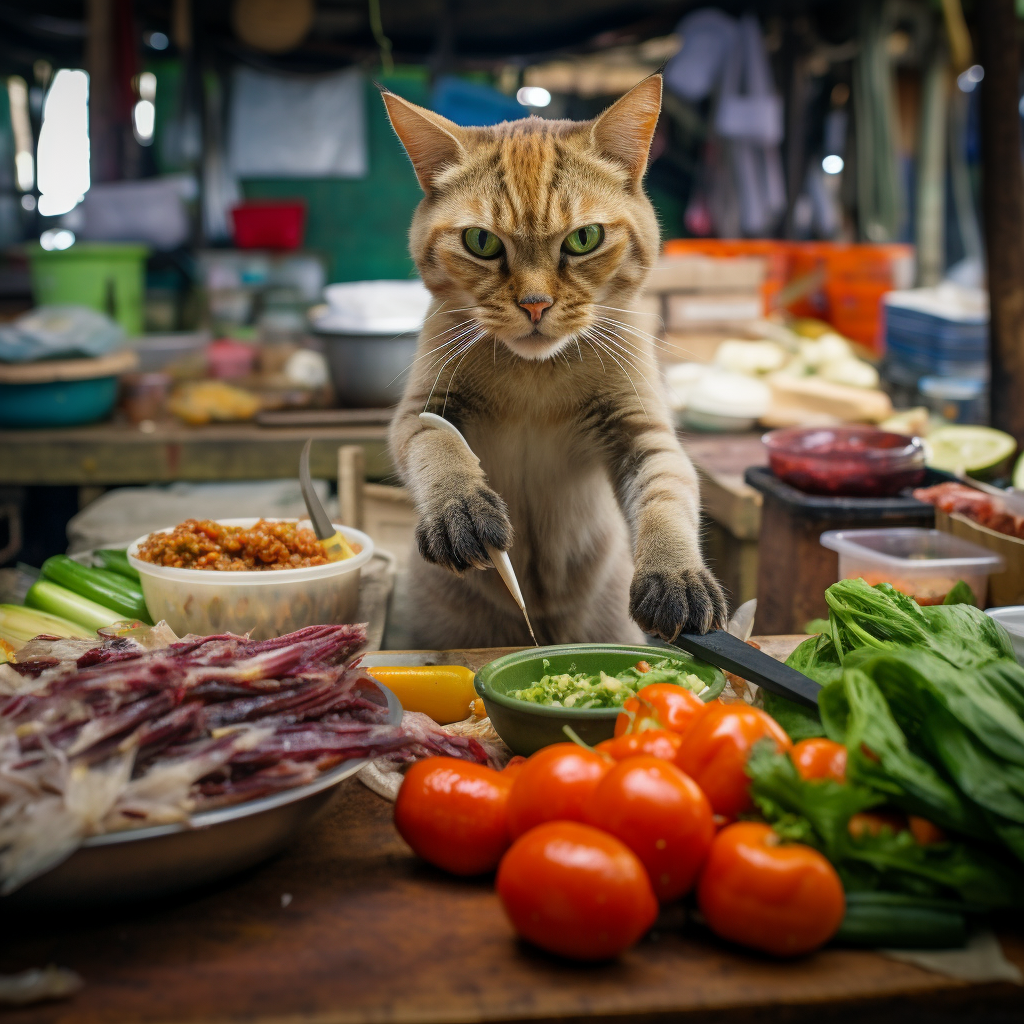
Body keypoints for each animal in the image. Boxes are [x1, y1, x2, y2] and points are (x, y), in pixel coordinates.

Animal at [382, 75, 729, 647]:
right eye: (481, 242)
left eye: (584, 238)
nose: (535, 304)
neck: (535, 374)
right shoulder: (422, 411)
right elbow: (437, 449)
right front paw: (461, 508)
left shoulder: (641, 433)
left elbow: (667, 496)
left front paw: (675, 575)